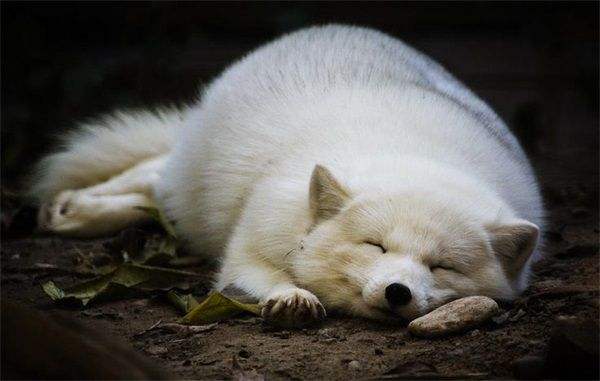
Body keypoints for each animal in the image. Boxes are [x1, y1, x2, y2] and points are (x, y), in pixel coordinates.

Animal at [29, 25, 544, 326]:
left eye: (443, 266)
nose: (398, 291)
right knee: (153, 178)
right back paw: (73, 210)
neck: (415, 155)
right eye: (375, 246)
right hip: (192, 183)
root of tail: (329, 27)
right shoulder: (250, 241)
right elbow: (256, 272)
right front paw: (292, 297)